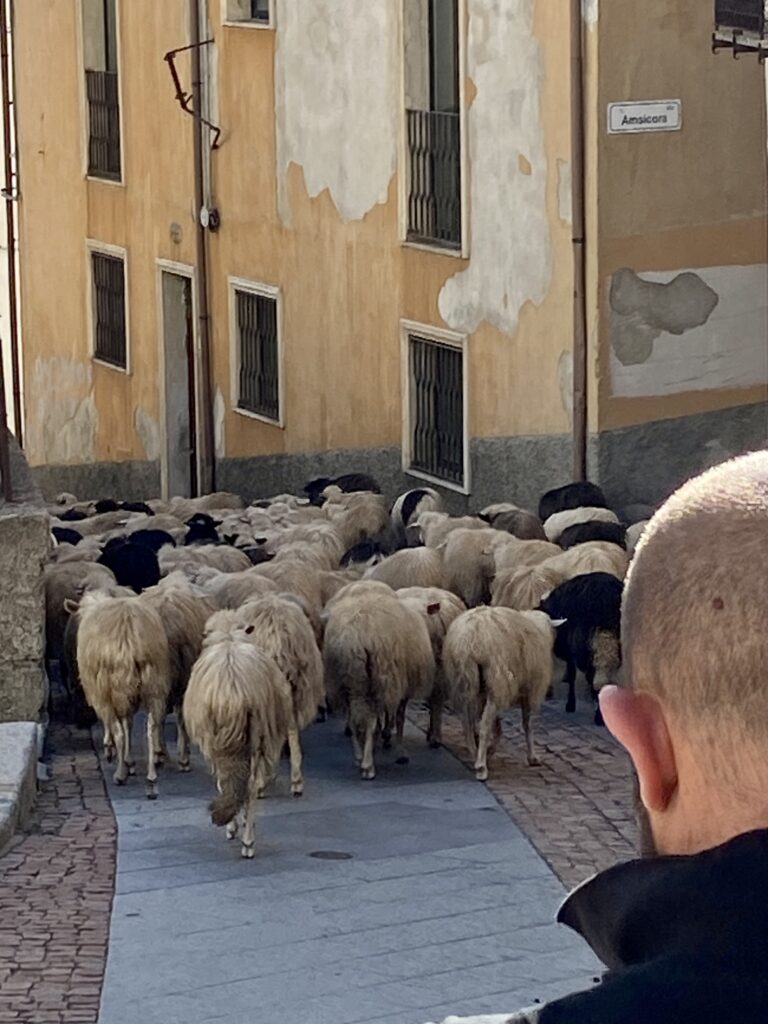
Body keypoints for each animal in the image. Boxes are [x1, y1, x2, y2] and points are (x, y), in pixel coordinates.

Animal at [182, 630, 292, 856]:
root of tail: (233, 690)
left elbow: (221, 782)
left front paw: (232, 827)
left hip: (219, 739)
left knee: (233, 780)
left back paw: (244, 838)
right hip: (257, 734)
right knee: (251, 785)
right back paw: (248, 839)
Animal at [444, 602, 561, 778]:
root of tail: (470, 639)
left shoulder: (488, 692)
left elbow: (498, 724)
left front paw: (491, 749)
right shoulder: (528, 690)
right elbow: (527, 724)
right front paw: (532, 757)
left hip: (467, 681)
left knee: (467, 722)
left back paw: (474, 753)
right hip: (495, 679)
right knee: (484, 725)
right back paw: (481, 766)